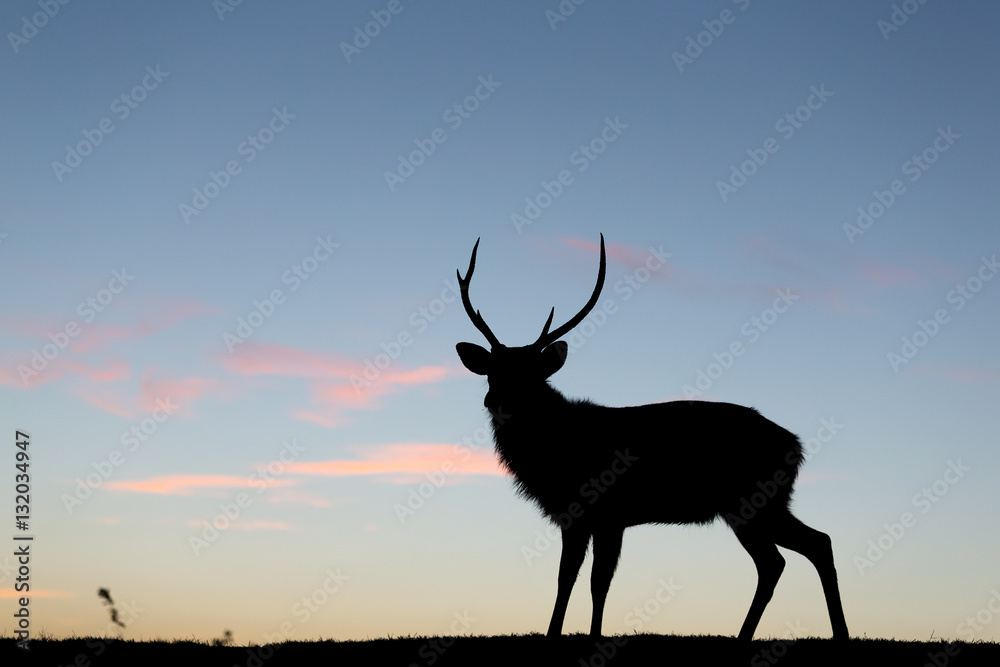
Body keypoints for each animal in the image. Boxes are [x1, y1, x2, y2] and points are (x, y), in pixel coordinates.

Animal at [455, 234, 849, 641]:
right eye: (492, 371)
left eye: (530, 374)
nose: (493, 400)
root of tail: (796, 445)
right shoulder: (597, 518)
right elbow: (589, 581)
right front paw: (587, 635)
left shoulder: (595, 511)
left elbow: (580, 580)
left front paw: (565, 636)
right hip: (761, 504)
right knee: (803, 549)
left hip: (754, 500)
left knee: (791, 553)